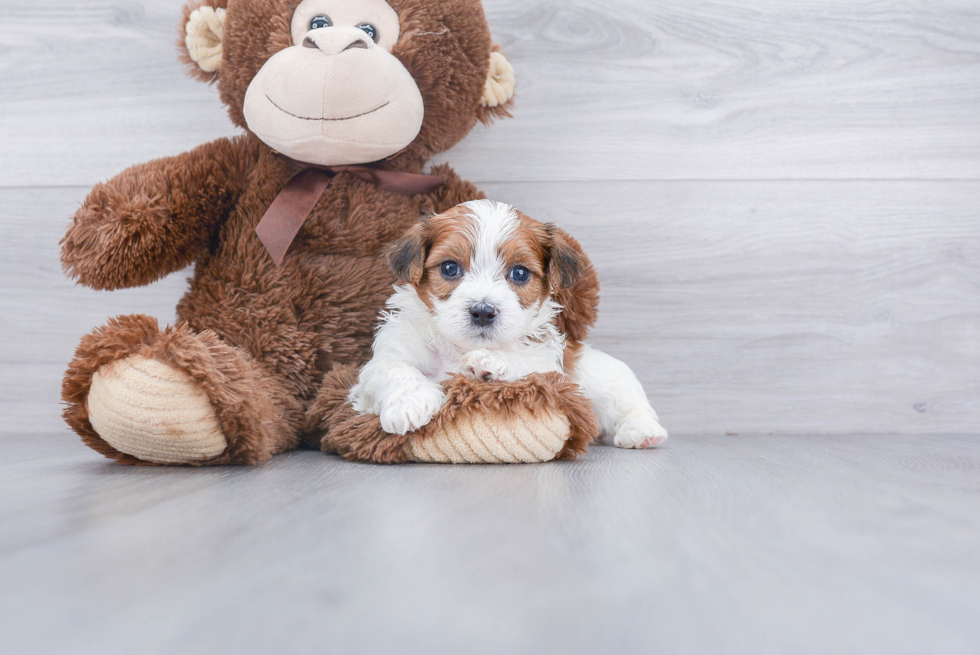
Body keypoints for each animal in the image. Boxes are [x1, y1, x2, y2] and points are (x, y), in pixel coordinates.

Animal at [348, 199, 668, 452]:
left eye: (520, 273)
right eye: (449, 268)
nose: (483, 311)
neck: (460, 348)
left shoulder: (549, 368)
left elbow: (527, 363)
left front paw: (489, 363)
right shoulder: (388, 356)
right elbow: (392, 368)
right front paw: (410, 403)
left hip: (606, 379)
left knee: (629, 404)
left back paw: (642, 432)